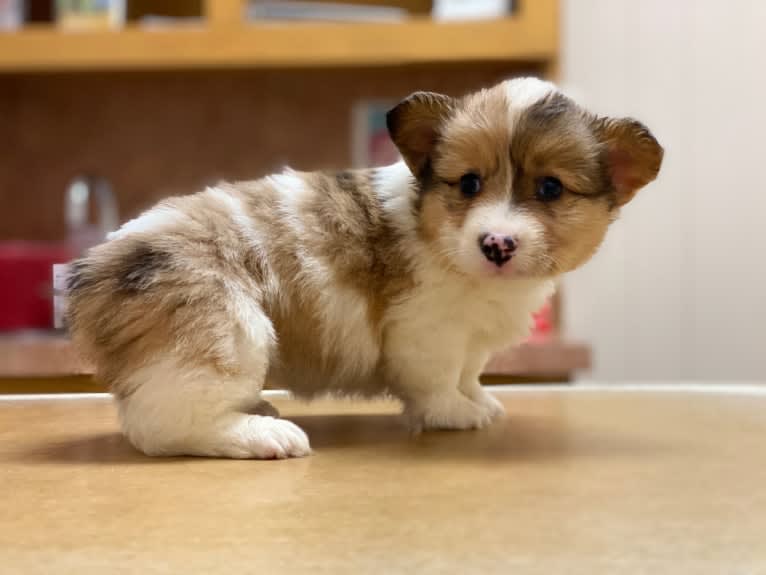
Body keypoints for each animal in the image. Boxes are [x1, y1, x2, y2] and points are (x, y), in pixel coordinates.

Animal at [67, 79, 664, 462]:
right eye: (470, 183)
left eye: (550, 189)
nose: (497, 243)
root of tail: (94, 268)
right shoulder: (427, 332)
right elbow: (439, 382)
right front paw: (455, 413)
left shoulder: (471, 340)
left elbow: (469, 373)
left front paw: (479, 402)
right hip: (225, 334)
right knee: (161, 426)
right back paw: (262, 435)